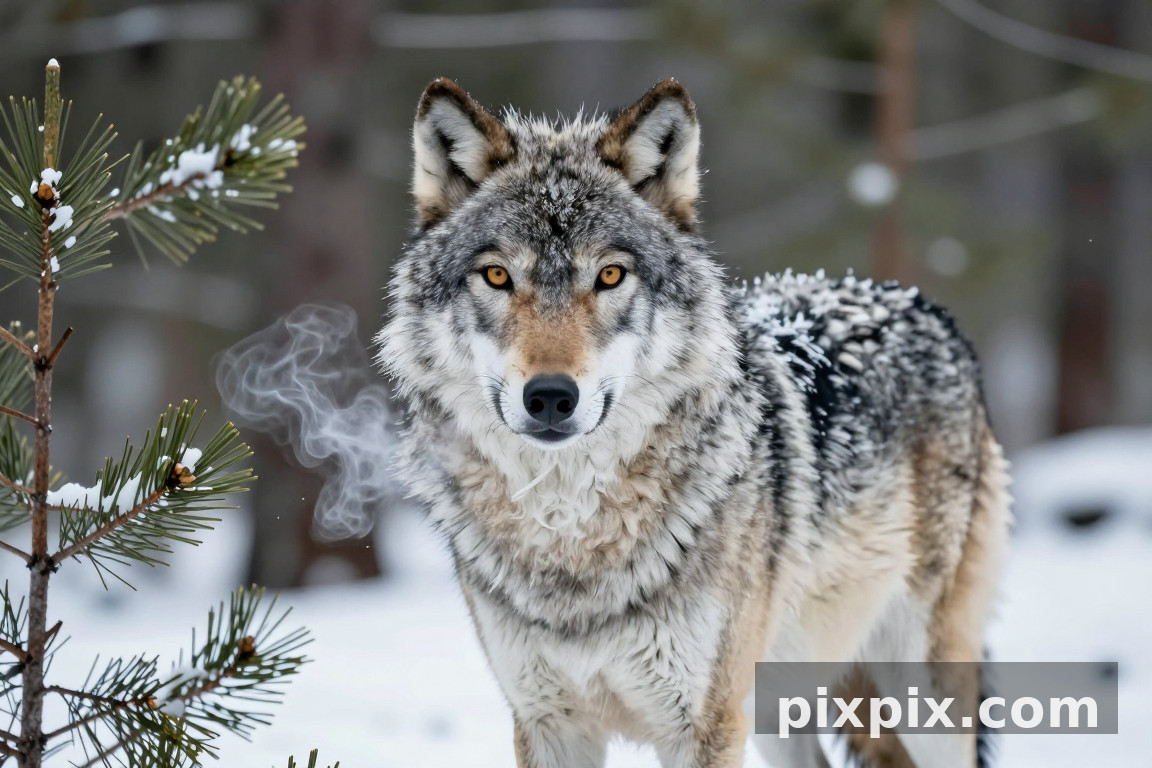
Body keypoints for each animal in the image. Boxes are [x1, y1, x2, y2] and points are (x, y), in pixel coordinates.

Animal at [377, 78, 1011, 768]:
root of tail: (920, 302)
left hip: (918, 691)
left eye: (610, 275)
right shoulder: (547, 724)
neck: (572, 536)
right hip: (775, 709)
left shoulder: (703, 723)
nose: (549, 397)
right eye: (497, 275)